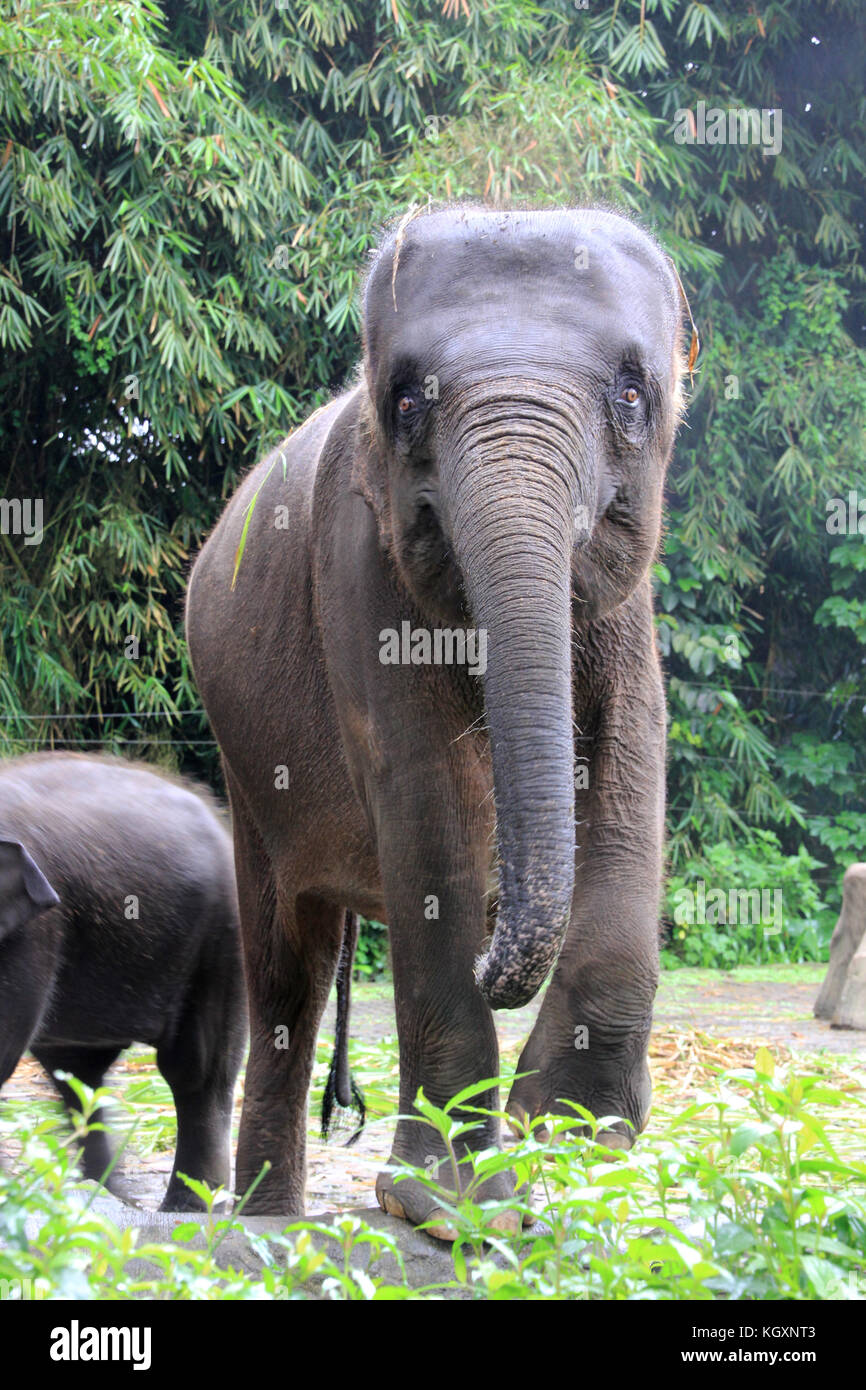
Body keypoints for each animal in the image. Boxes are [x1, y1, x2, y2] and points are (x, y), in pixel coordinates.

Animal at [0, 756, 247, 1212]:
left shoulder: (33, 931)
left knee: (196, 1070)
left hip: (224, 932)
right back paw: (103, 1199)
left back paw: (186, 1210)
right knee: (76, 1073)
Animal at [186, 201, 686, 1234]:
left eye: (631, 394)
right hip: (247, 768)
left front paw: (578, 1144)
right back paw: (266, 1226)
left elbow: (629, 763)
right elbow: (426, 798)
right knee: (287, 968)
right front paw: (447, 1206)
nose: (501, 948)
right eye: (410, 400)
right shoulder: (357, 566)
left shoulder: (631, 607)